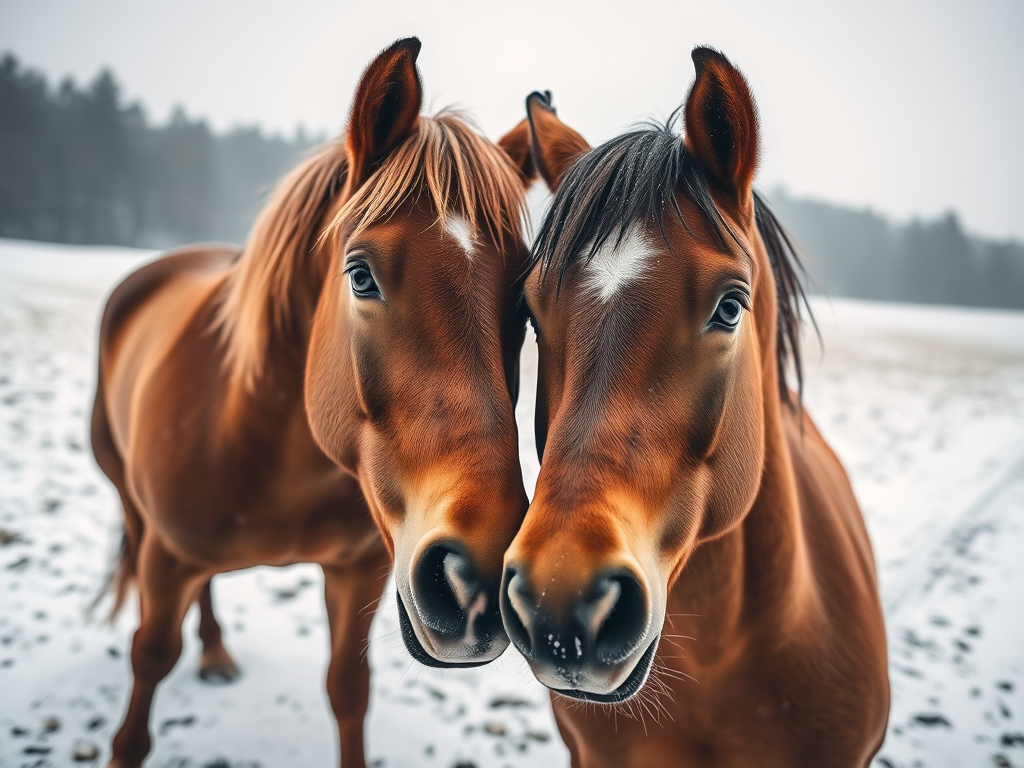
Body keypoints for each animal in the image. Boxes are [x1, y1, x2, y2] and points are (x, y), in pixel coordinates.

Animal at [89, 38, 532, 768]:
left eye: (525, 298)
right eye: (360, 275)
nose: (474, 584)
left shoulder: (359, 570)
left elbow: (348, 690)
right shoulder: (167, 557)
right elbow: (148, 663)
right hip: (130, 499)